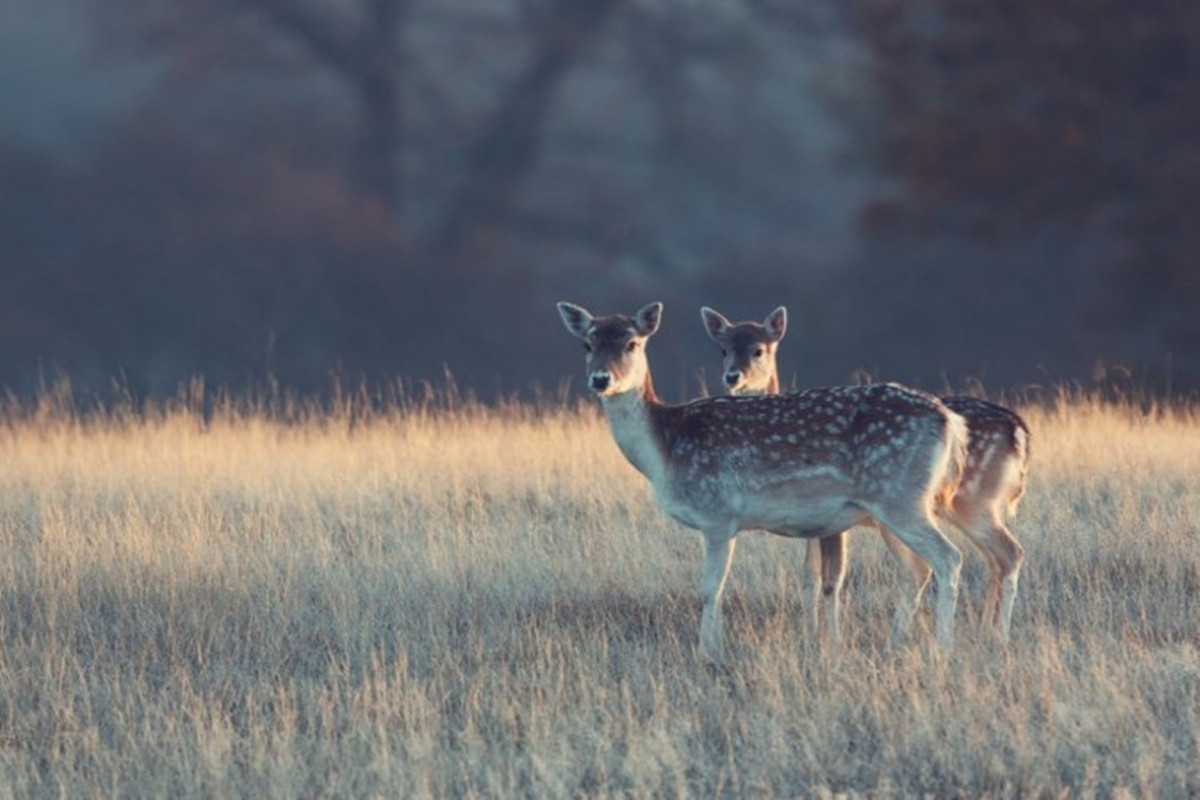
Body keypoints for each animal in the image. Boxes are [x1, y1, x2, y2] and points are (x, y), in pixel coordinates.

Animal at [556, 299, 969, 662]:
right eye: (587, 344)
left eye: (632, 343)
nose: (600, 379)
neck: (665, 447)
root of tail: (949, 421)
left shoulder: (718, 514)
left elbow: (710, 589)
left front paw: (709, 653)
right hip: (891, 509)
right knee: (918, 570)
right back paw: (896, 644)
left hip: (901, 498)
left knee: (949, 557)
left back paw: (943, 648)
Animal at [700, 303, 1032, 642]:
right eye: (723, 349)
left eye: (759, 350)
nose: (732, 377)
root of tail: (1018, 430)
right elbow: (809, 575)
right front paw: (811, 635)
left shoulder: (832, 521)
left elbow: (830, 578)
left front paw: (827, 640)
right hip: (970, 506)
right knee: (993, 558)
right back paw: (983, 632)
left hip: (969, 500)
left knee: (1002, 555)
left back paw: (993, 634)